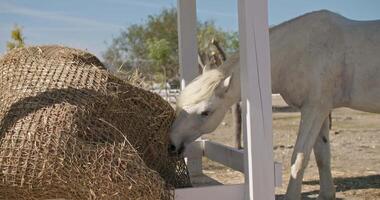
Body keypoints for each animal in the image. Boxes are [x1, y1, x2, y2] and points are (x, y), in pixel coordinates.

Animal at [170, 10, 380, 199]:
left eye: (205, 112)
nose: (171, 144)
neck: (304, 51)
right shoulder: (322, 110)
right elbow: (322, 156)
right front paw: (326, 194)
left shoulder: (314, 109)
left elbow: (299, 158)